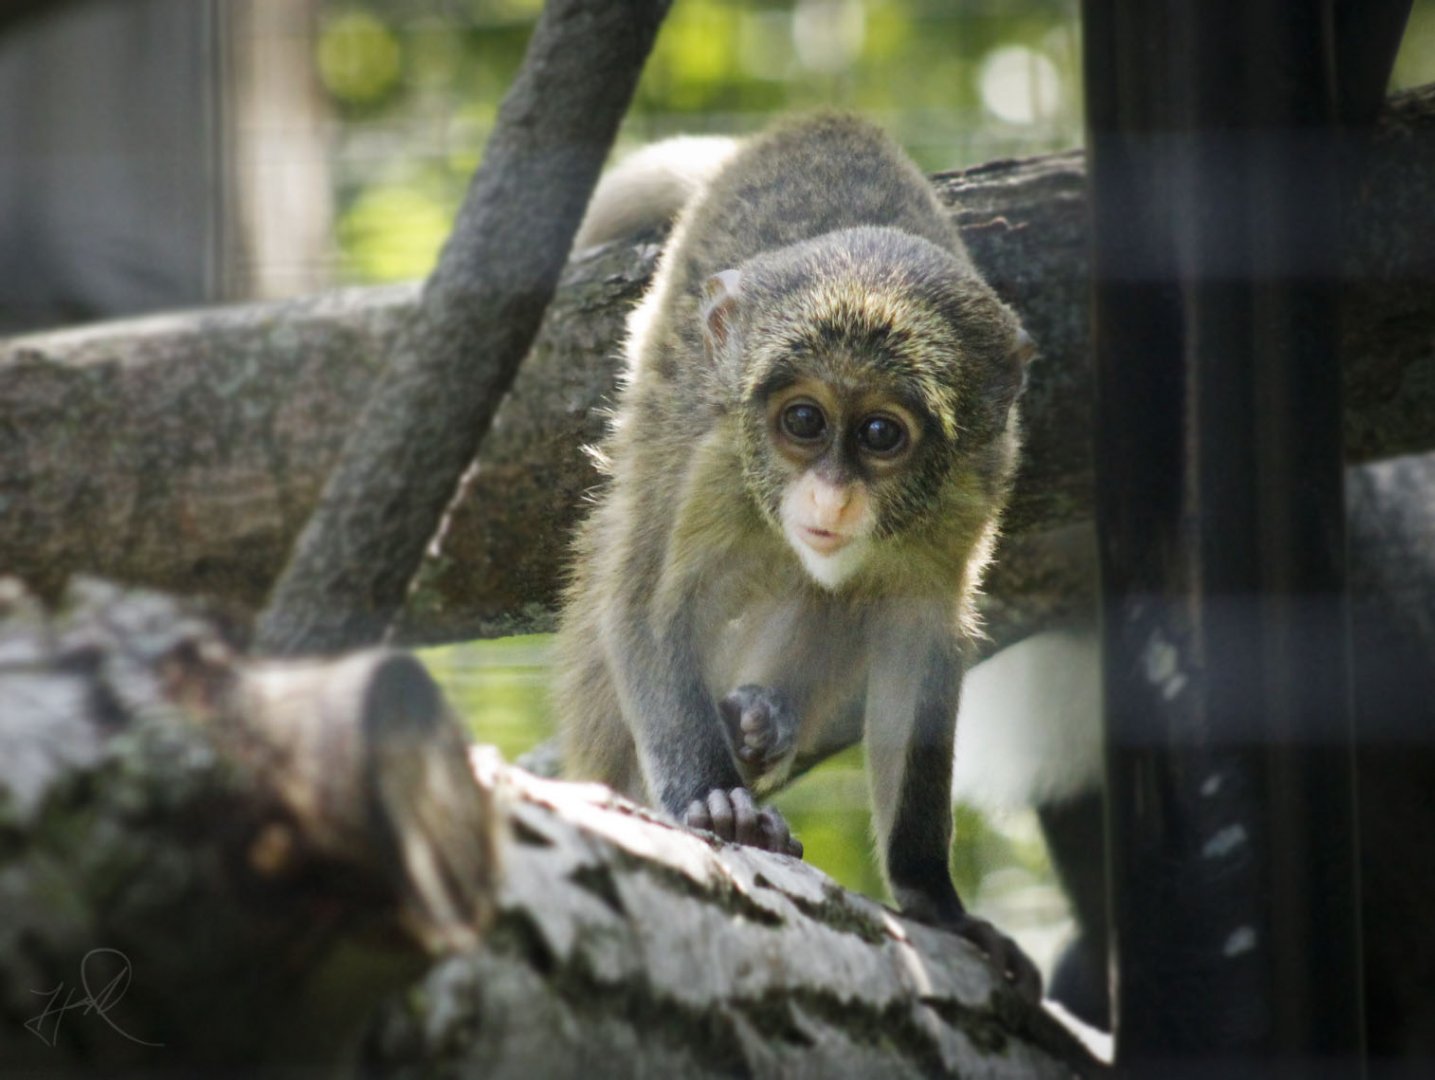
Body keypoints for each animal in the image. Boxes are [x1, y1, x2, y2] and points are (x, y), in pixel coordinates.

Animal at [554, 113, 1039, 997]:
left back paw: (759, 718)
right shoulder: (719, 462)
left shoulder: (965, 496)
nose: (832, 496)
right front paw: (715, 804)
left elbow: (918, 643)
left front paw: (930, 894)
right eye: (803, 421)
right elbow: (646, 604)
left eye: (880, 433)